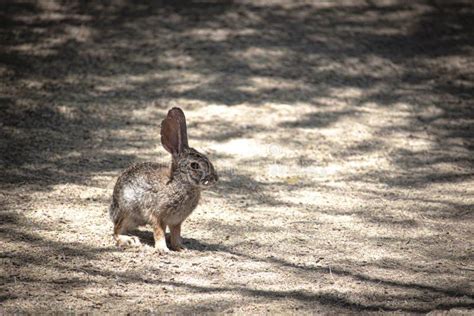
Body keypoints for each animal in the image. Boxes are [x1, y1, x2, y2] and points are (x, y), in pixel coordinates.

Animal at [109, 107, 218, 253]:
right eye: (195, 166)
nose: (215, 178)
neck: (180, 183)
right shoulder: (156, 215)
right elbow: (159, 231)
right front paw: (163, 249)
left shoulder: (176, 221)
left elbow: (176, 234)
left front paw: (180, 248)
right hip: (127, 212)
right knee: (116, 231)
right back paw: (129, 241)